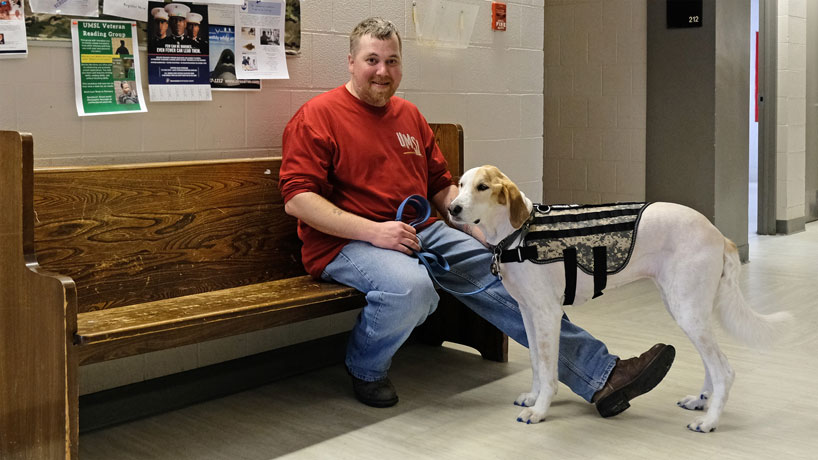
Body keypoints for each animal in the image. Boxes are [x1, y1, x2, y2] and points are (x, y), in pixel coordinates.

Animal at [446, 167, 792, 434]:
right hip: (686, 309)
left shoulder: (547, 315)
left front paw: (541, 410)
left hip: (688, 311)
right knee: (712, 364)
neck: (518, 234)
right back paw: (701, 402)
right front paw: (533, 397)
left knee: (724, 370)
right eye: (460, 185)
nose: (452, 208)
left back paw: (709, 422)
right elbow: (535, 364)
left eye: (482, 187)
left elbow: (548, 371)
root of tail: (718, 234)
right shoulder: (527, 314)